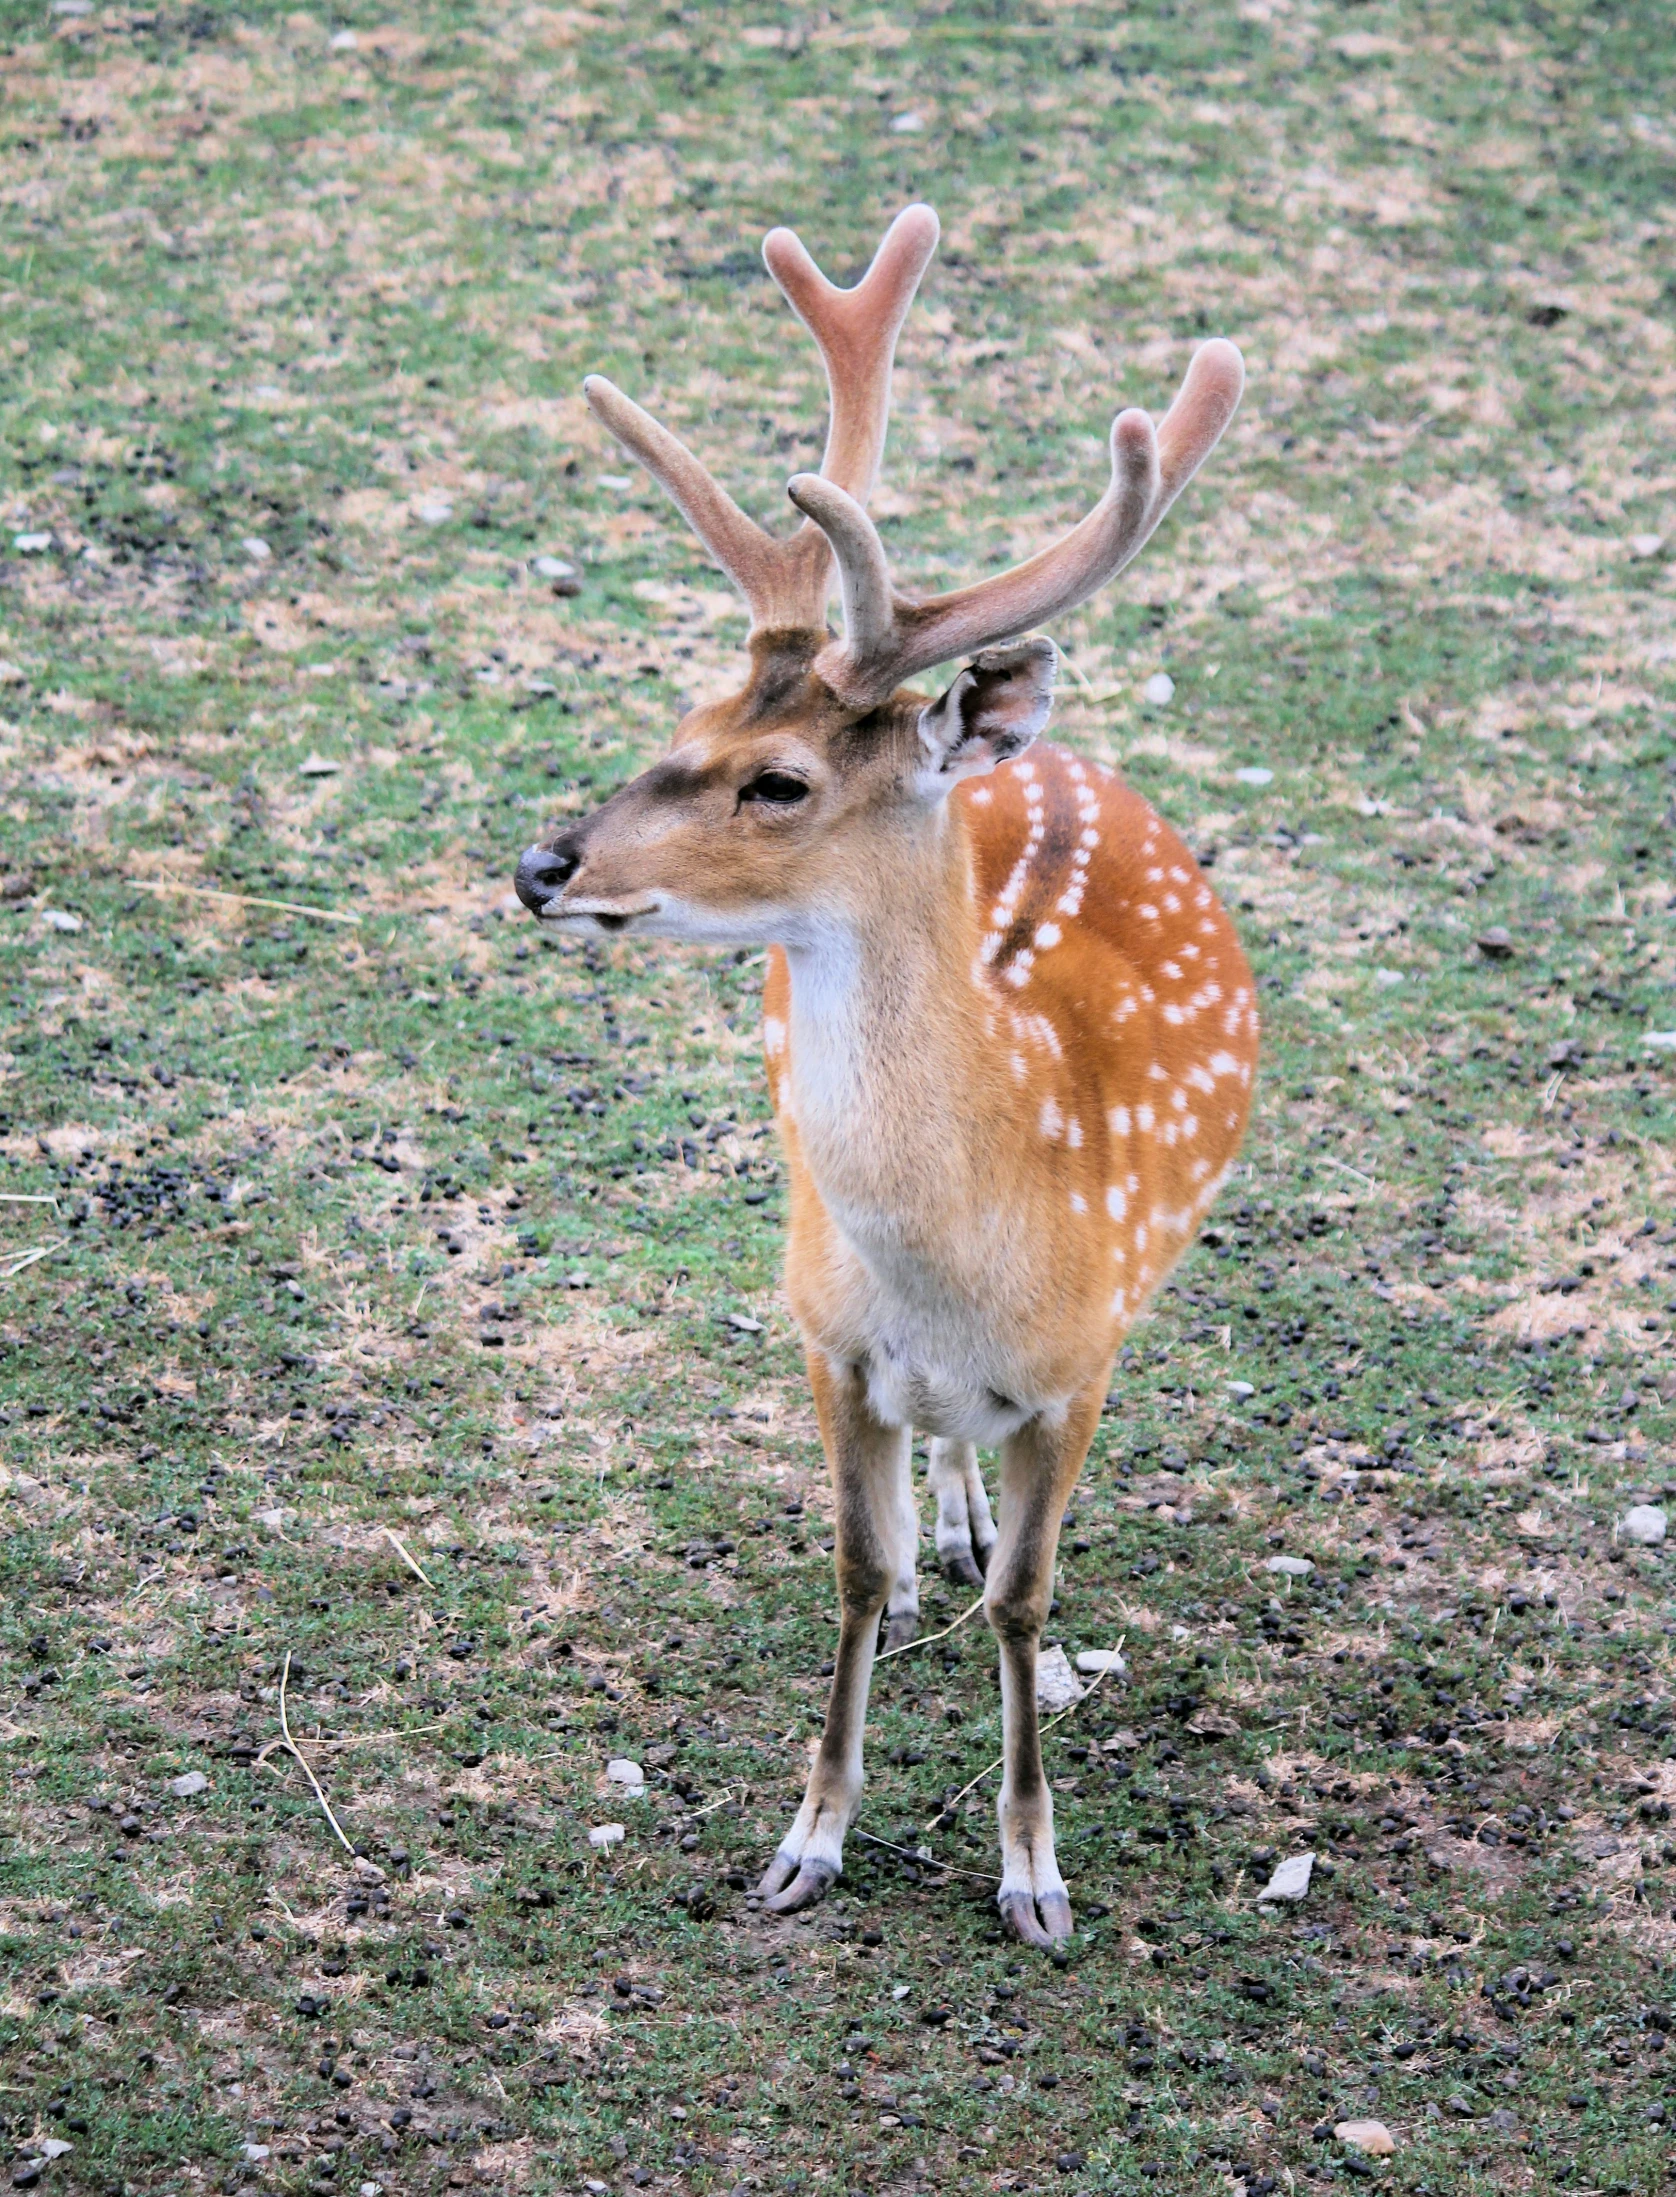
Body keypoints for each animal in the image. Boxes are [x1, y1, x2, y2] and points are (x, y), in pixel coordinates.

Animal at [514, 206, 1256, 1950]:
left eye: (778, 780)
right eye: (686, 713)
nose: (541, 864)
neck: (965, 1260)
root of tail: (1042, 753)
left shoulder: (1084, 1361)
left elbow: (1031, 1603)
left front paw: (1035, 1873)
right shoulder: (825, 1331)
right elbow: (851, 1571)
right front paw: (810, 1838)